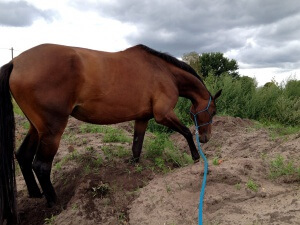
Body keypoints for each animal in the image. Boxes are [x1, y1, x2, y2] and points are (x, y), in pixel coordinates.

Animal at [0, 43, 220, 223]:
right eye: (213, 111)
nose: (206, 138)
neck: (164, 71)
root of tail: (15, 62)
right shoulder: (163, 115)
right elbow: (186, 132)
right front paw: (195, 156)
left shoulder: (142, 118)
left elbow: (136, 146)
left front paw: (135, 170)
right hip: (52, 130)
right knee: (41, 166)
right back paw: (56, 203)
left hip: (36, 128)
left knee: (23, 156)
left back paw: (36, 194)